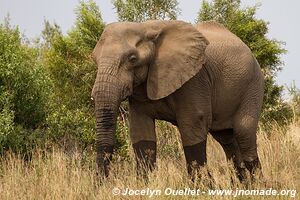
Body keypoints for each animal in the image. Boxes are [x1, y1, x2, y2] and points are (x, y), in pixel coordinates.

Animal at [91, 19, 262, 180]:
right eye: (95, 59)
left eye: (132, 59)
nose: (101, 182)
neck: (146, 29)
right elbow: (142, 134)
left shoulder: (194, 79)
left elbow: (193, 126)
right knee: (227, 139)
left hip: (252, 85)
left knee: (243, 133)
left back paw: (257, 184)